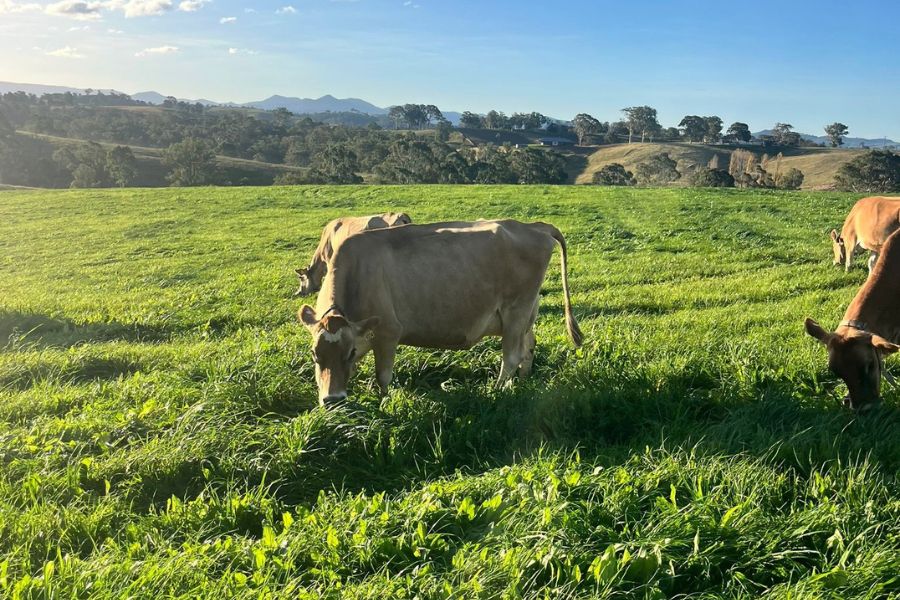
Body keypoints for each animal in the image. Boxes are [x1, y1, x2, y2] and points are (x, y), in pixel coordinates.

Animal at [297, 219, 583, 404]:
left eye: (348, 352)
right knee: (528, 346)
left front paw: (383, 403)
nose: (332, 400)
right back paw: (522, 382)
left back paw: (498, 390)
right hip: (527, 312)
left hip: (516, 310)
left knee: (511, 356)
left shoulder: (388, 332)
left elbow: (383, 377)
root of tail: (534, 226)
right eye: (314, 354)